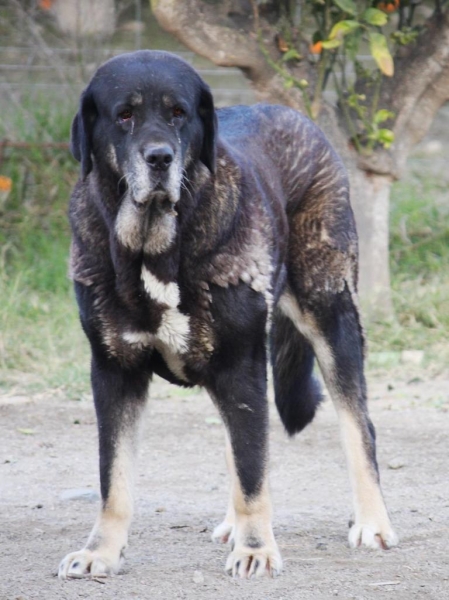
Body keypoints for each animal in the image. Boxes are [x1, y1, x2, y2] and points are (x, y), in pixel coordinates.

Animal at [58, 51, 396, 580]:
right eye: (124, 115)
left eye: (178, 113)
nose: (160, 158)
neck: (156, 247)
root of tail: (295, 116)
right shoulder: (114, 370)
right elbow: (114, 478)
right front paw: (101, 552)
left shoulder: (242, 365)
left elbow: (254, 469)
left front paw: (256, 549)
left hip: (331, 317)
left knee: (356, 425)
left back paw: (371, 522)